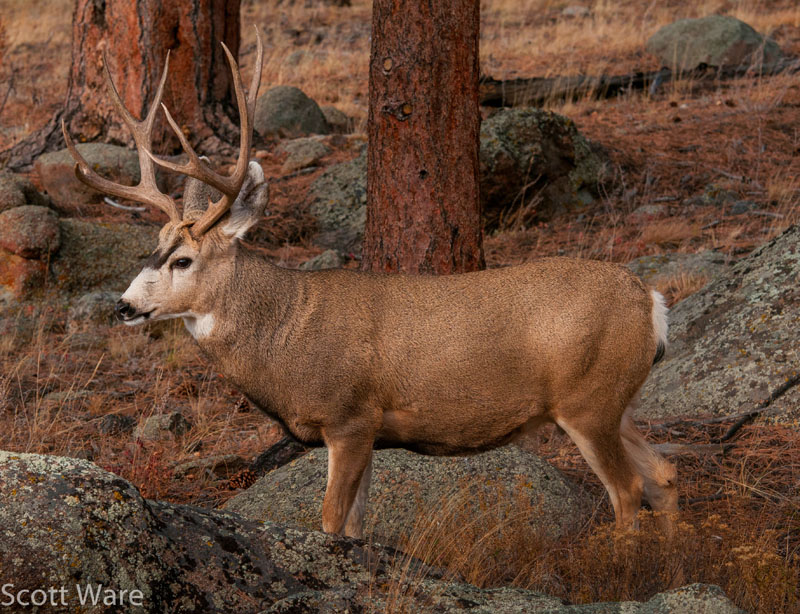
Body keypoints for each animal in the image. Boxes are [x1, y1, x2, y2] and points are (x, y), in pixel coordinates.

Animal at [62, 32, 678, 539]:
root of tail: (651, 301)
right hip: (617, 399)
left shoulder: (351, 416)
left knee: (628, 491)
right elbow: (357, 526)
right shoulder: (372, 431)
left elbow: (332, 520)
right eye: (154, 245)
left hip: (587, 400)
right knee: (664, 474)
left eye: (184, 260)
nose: (124, 306)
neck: (285, 334)